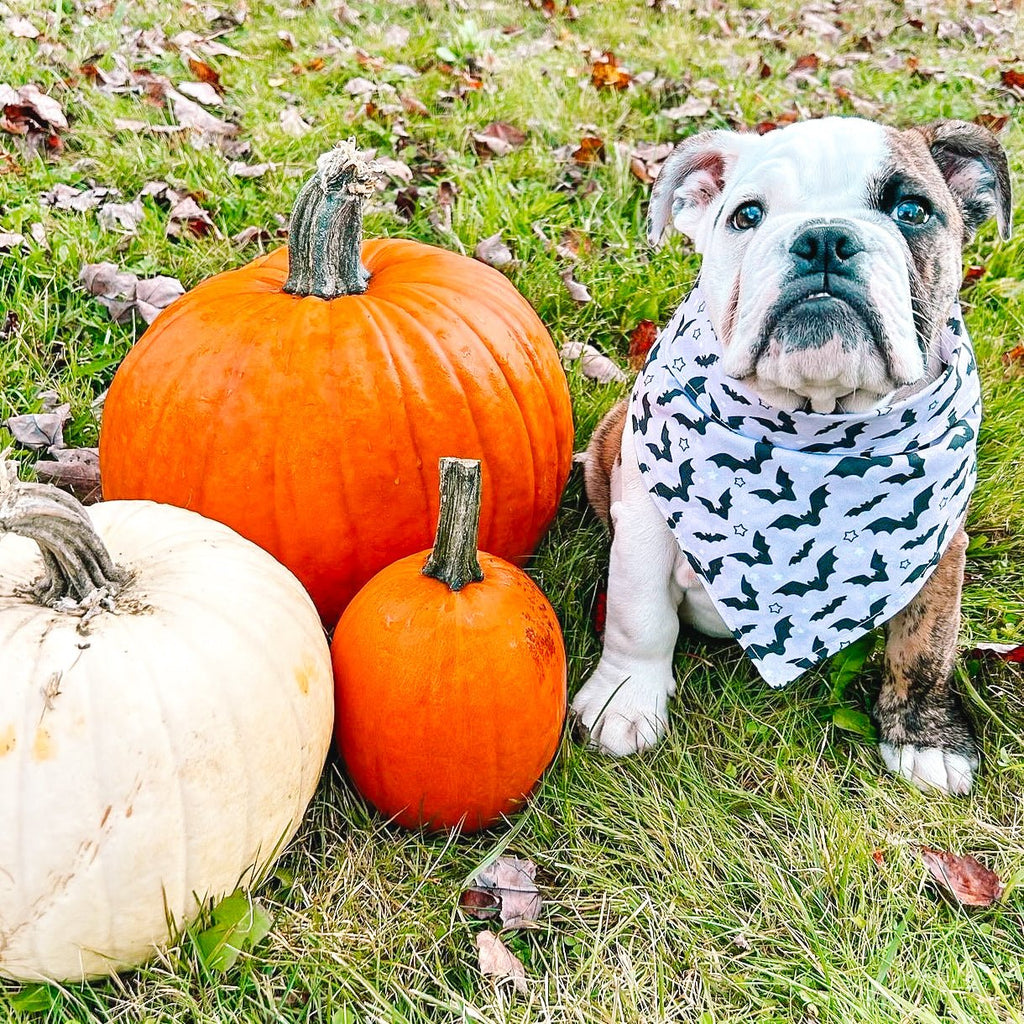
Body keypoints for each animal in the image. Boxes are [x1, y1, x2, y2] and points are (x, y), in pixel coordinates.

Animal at [573, 116, 1011, 794]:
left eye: (912, 211)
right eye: (747, 215)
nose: (825, 240)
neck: (814, 420)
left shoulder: (941, 542)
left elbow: (924, 647)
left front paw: (926, 738)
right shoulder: (645, 517)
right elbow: (638, 613)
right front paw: (625, 701)